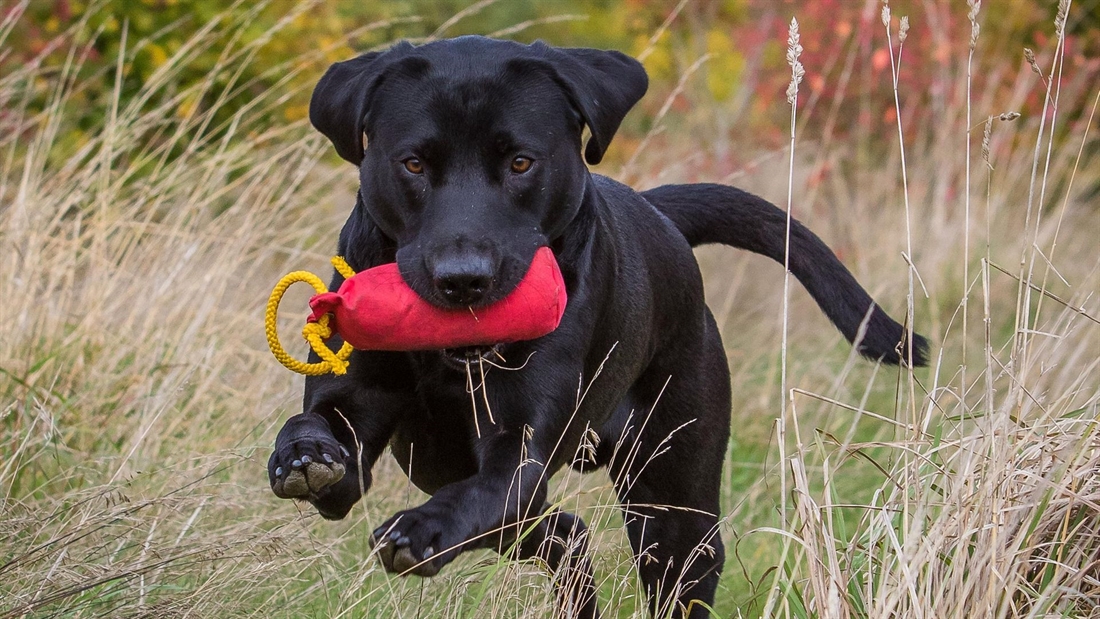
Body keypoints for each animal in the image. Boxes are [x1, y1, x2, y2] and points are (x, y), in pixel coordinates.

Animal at [268, 37, 928, 619]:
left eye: (521, 162)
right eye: (412, 164)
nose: (463, 279)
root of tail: (661, 215)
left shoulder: (519, 451)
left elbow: (476, 495)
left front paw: (421, 528)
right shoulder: (357, 409)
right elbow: (320, 431)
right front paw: (303, 454)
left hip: (671, 498)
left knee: (669, 565)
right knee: (566, 535)